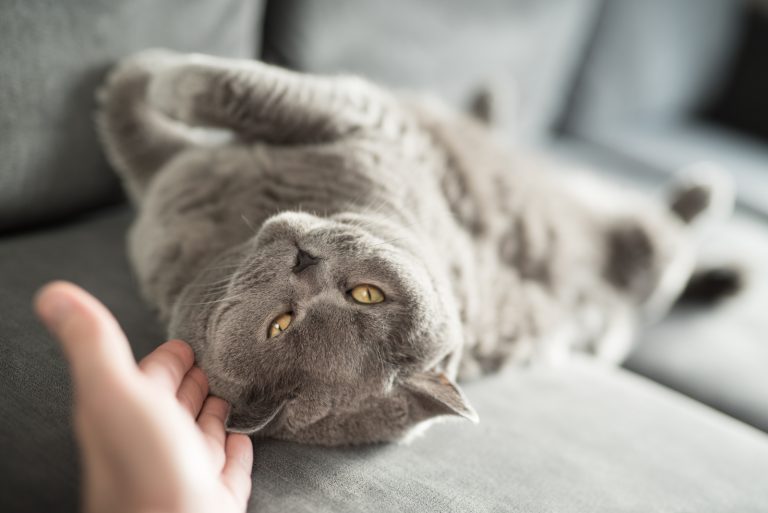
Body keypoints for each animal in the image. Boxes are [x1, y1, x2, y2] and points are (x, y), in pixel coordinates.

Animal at [99, 50, 736, 446]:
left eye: (363, 295)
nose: (306, 261)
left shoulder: (359, 112)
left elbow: (209, 86)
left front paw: (144, 69)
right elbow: (144, 121)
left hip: (629, 233)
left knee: (667, 237)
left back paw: (707, 192)